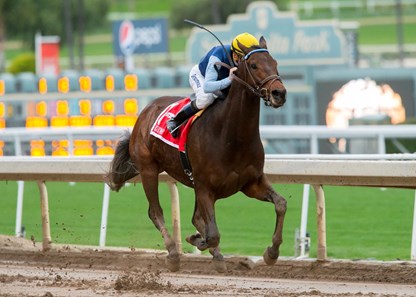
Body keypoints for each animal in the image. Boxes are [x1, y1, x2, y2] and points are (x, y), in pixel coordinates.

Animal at [107, 36, 288, 270]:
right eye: (254, 65)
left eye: (275, 63)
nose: (279, 93)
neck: (232, 137)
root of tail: (146, 110)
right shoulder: (205, 187)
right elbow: (213, 233)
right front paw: (198, 241)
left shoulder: (251, 182)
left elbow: (281, 204)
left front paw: (271, 253)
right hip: (148, 169)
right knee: (155, 212)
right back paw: (173, 254)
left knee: (195, 218)